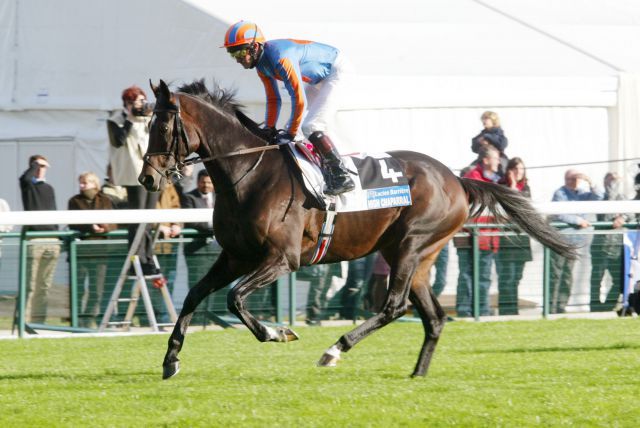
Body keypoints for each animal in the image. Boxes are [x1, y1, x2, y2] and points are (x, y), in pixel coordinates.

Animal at [139, 79, 576, 378]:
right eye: (145, 126)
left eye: (163, 128)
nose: (147, 178)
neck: (250, 174)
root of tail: (456, 179)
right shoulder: (234, 256)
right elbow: (194, 295)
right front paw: (170, 359)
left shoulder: (283, 259)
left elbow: (234, 299)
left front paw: (279, 333)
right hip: (415, 255)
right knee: (433, 316)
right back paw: (418, 373)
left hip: (412, 244)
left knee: (395, 305)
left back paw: (335, 350)